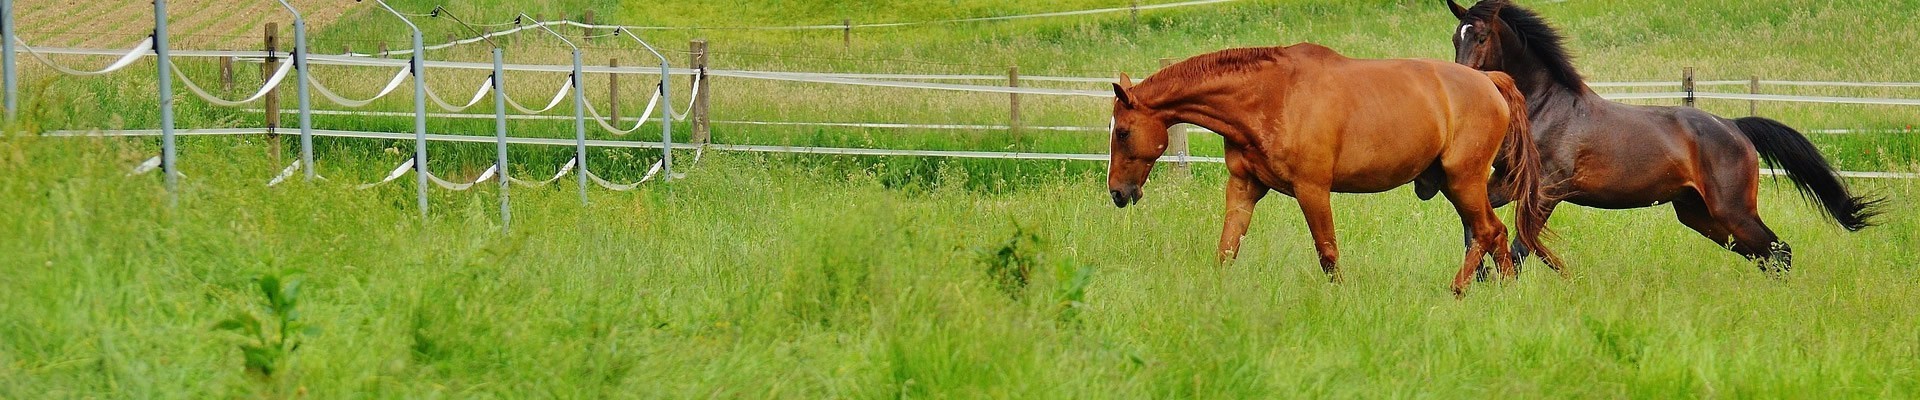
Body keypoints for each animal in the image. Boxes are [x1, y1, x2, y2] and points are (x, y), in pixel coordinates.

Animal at [1113, 43, 1559, 294]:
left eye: (1122, 131)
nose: (1117, 192)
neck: (1271, 95)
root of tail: (1490, 81)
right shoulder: (1244, 186)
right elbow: (1227, 248)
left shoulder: (1312, 189)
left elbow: (1327, 251)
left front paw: (1339, 296)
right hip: (1458, 185)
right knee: (1496, 234)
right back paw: (1507, 292)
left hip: (1463, 181)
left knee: (1488, 231)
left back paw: (1459, 289)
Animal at [1443, 0, 1881, 275]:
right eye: (1455, 37)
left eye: (1480, 36)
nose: (1463, 82)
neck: (1544, 108)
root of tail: (1735, 127)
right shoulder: (1506, 183)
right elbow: (1473, 227)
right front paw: (1479, 277)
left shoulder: (1548, 191)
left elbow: (1520, 250)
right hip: (1698, 214)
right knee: (1764, 255)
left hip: (1732, 209)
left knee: (1779, 251)